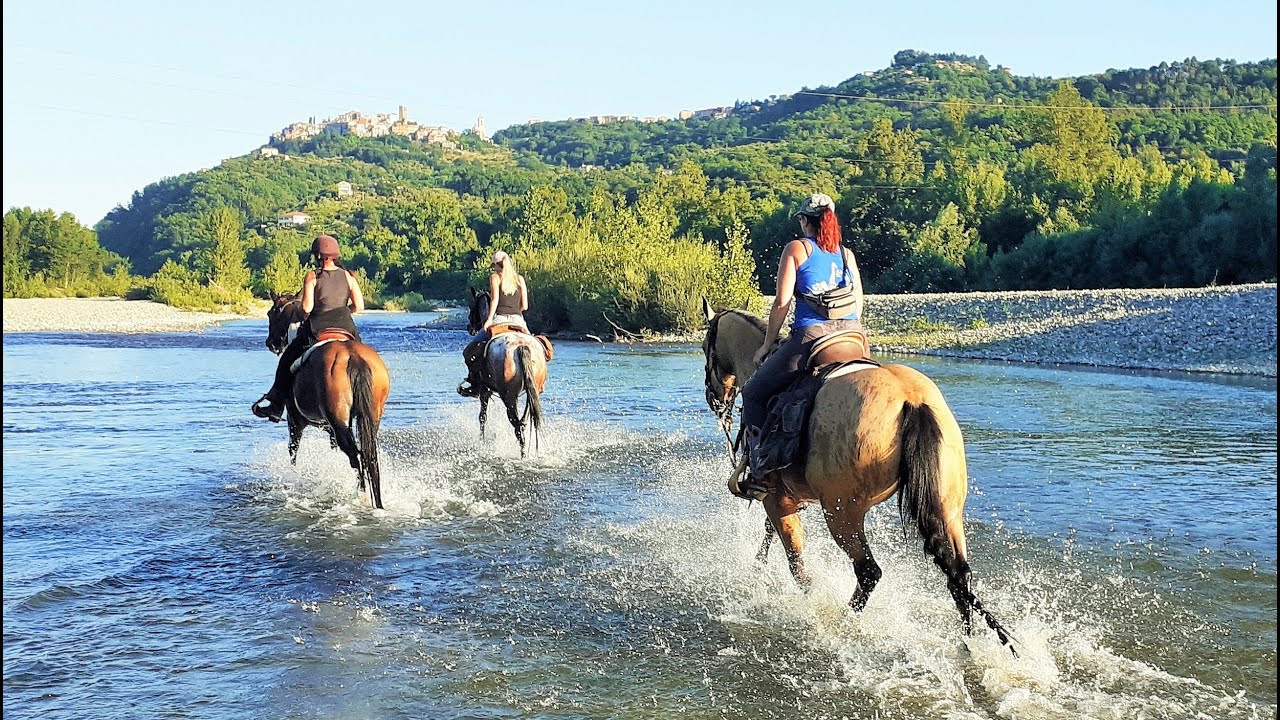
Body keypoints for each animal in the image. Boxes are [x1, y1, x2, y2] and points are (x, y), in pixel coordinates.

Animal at [265, 291, 391, 509]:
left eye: (271, 313)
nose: (270, 342)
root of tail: (354, 357)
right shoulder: (330, 428)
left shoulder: (295, 421)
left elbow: (293, 450)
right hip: (370, 417)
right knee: (369, 457)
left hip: (338, 421)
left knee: (356, 456)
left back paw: (362, 496)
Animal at [465, 287, 547, 458]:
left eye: (472, 306)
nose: (469, 327)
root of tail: (521, 346)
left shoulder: (484, 390)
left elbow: (482, 417)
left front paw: (481, 442)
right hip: (531, 393)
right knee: (523, 422)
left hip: (508, 397)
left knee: (517, 424)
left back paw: (522, 455)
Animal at [701, 299, 1017, 653]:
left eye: (704, 347)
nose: (713, 398)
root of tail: (911, 400)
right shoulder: (786, 496)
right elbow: (773, 536)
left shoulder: (775, 496)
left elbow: (796, 563)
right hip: (948, 509)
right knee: (959, 577)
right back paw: (969, 643)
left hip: (842, 513)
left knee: (868, 571)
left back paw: (842, 622)